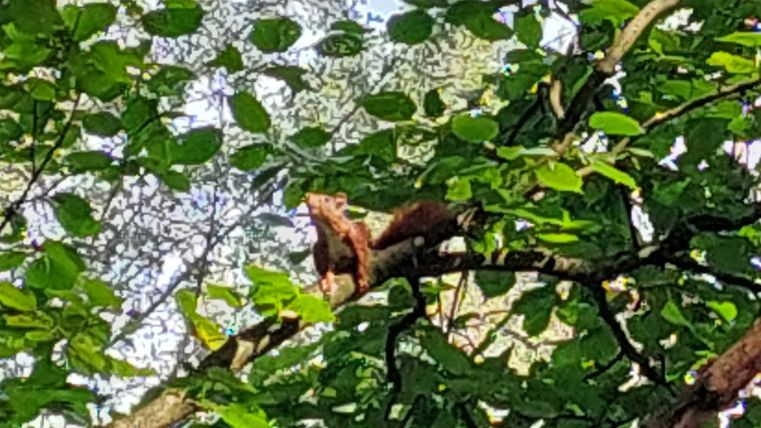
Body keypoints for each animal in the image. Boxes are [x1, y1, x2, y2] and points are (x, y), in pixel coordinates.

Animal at [305, 192, 455, 295]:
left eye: (326, 199)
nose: (308, 196)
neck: (327, 230)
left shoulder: (356, 234)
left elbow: (361, 256)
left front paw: (362, 278)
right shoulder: (325, 250)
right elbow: (329, 268)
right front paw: (327, 279)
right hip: (317, 250)